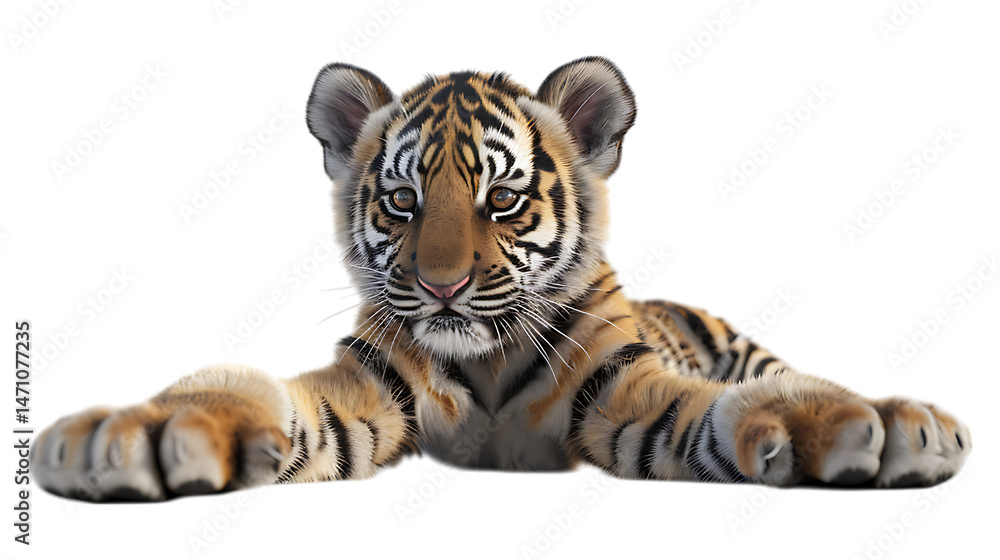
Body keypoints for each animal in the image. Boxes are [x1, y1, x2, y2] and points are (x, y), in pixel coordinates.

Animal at [34, 57, 970, 501]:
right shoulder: (369, 388)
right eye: (403, 201)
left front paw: (880, 426)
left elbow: (719, 411)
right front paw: (129, 436)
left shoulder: (624, 392)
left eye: (505, 199)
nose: (442, 288)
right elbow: (251, 394)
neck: (483, 361)